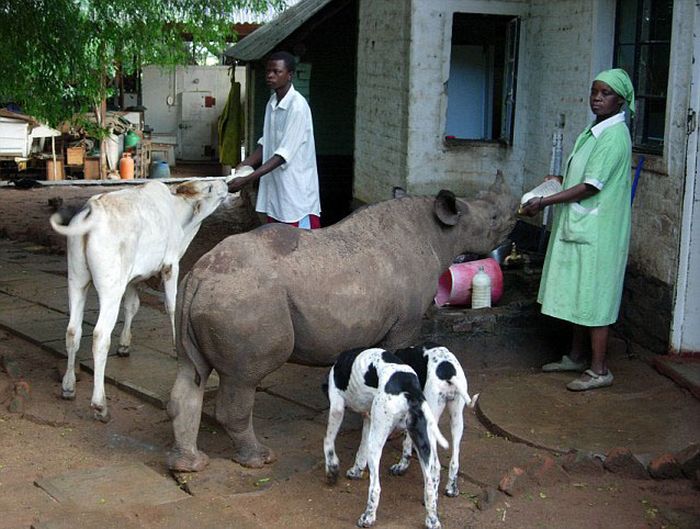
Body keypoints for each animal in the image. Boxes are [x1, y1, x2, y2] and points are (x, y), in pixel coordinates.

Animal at [50, 179, 228, 418]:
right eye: (208, 188)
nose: (225, 183)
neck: (178, 212)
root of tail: (93, 208)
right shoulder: (171, 265)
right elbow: (172, 305)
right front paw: (176, 348)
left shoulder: (133, 278)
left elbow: (132, 306)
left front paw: (125, 345)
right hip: (111, 288)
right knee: (100, 335)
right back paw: (100, 404)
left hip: (76, 279)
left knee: (72, 331)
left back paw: (68, 386)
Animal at [324, 346, 448, 528]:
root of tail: (409, 388)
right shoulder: (369, 419)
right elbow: (361, 451)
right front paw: (356, 470)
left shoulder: (337, 406)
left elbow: (328, 441)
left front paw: (332, 469)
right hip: (421, 444)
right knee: (430, 485)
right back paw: (432, 519)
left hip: (377, 442)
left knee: (375, 487)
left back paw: (368, 517)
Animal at [392, 342, 478, 496]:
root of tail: (448, 372)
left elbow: (406, 444)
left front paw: (402, 466)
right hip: (457, 419)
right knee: (454, 462)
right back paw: (451, 488)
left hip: (431, 421)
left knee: (435, 466)